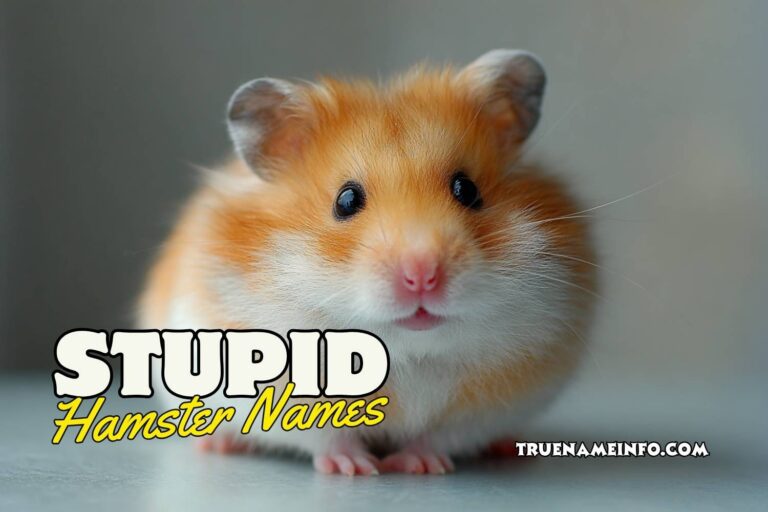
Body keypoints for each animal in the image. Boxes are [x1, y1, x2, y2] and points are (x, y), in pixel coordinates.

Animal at [138, 49, 597, 475]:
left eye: (467, 190)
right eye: (346, 200)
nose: (422, 277)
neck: (405, 350)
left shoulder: (495, 398)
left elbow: (442, 435)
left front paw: (419, 466)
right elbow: (322, 434)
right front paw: (356, 468)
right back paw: (217, 445)